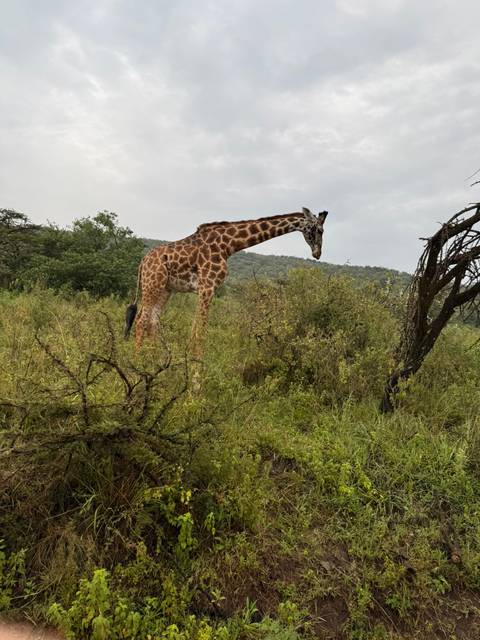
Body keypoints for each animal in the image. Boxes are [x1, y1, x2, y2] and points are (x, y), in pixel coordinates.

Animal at [124, 207, 328, 356]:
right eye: (319, 230)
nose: (317, 254)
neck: (228, 245)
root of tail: (142, 262)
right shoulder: (208, 286)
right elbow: (201, 333)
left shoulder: (203, 289)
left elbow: (194, 331)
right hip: (153, 284)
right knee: (141, 321)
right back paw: (138, 366)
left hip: (166, 289)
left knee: (152, 321)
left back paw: (153, 363)